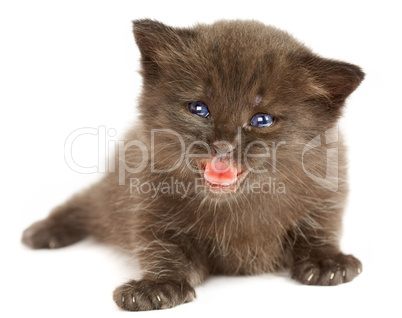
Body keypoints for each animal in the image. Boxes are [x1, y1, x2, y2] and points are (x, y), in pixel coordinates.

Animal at [23, 19, 366, 310]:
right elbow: (164, 250)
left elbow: (319, 228)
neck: (235, 209)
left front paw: (326, 262)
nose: (223, 146)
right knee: (83, 204)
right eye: (199, 108)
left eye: (262, 120)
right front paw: (156, 287)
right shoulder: (149, 206)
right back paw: (44, 232)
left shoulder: (326, 192)